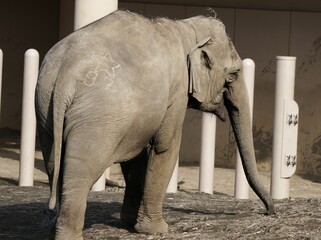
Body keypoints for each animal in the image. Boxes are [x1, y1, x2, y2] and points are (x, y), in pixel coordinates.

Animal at [35, 9, 276, 240]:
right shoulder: (177, 93)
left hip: (46, 110)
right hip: (97, 122)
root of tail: (66, 75)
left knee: (55, 166)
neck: (186, 29)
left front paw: (129, 222)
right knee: (80, 173)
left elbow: (136, 157)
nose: (269, 211)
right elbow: (165, 147)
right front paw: (157, 229)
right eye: (233, 74)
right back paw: (69, 235)